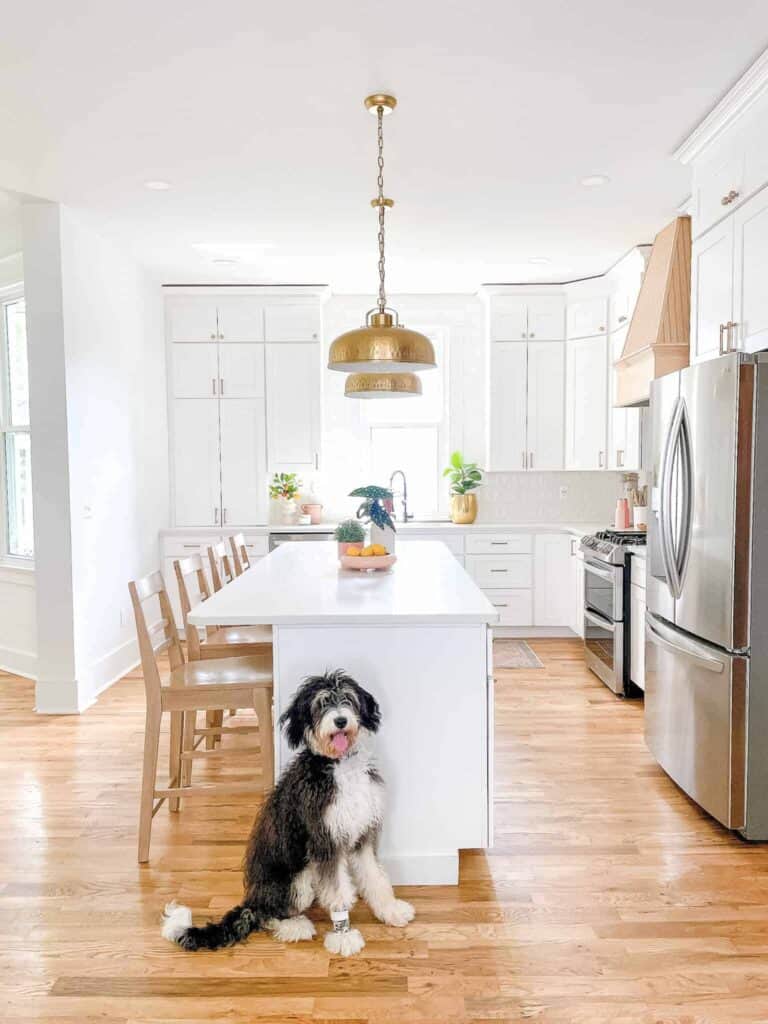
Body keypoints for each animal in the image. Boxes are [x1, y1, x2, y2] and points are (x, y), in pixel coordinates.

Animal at [162, 667, 415, 954]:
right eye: (321, 705)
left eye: (348, 699)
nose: (340, 721)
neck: (339, 766)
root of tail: (252, 899)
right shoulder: (324, 841)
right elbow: (337, 891)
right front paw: (343, 935)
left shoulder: (363, 834)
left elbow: (376, 876)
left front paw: (390, 909)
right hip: (297, 881)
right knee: (268, 914)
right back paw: (294, 926)